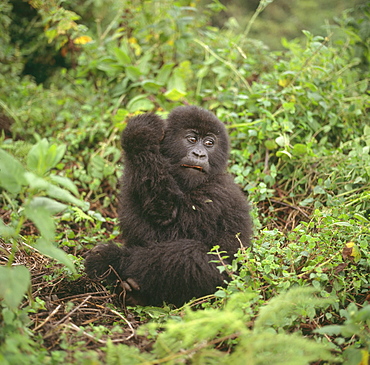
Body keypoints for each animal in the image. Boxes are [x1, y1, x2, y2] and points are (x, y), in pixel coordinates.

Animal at [84, 106, 251, 308]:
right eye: (192, 139)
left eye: (209, 143)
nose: (200, 154)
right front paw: (140, 135)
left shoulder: (216, 192)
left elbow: (167, 227)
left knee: (190, 256)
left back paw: (114, 263)